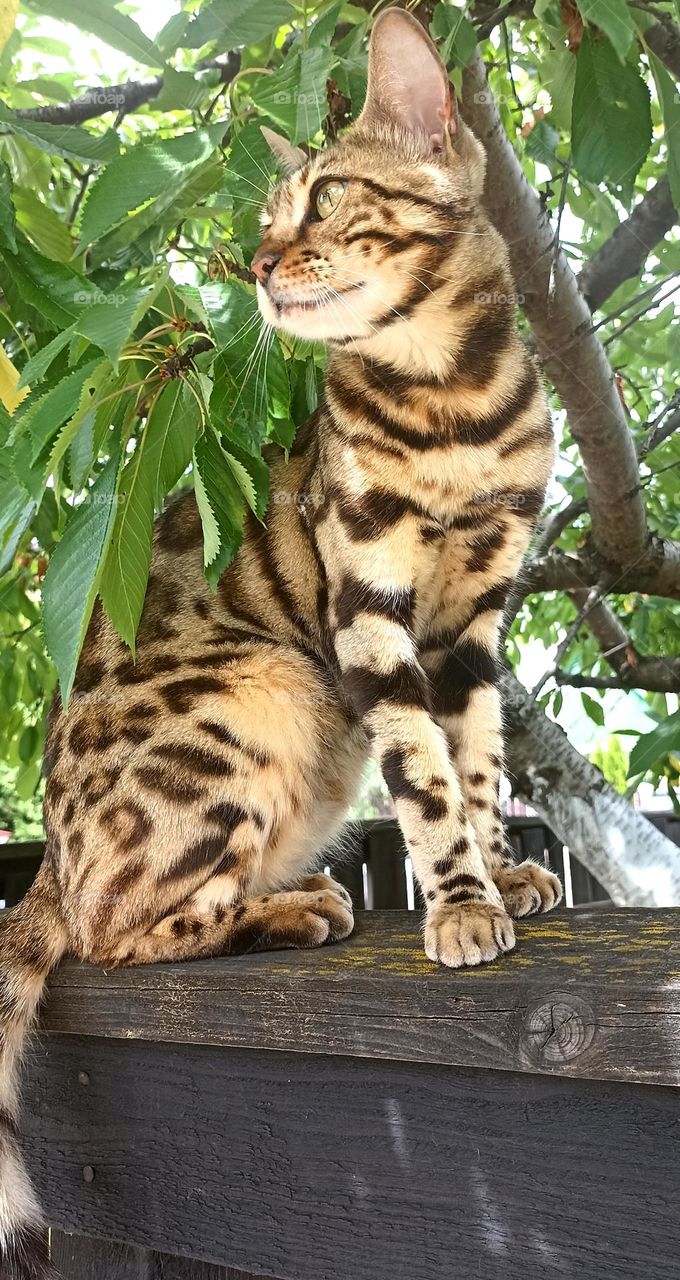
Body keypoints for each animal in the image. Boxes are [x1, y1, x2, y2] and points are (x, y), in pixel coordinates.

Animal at [1, 7, 558, 1269]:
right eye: (265, 218)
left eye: (327, 197)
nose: (254, 265)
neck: (452, 401)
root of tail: (48, 857)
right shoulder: (371, 606)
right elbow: (424, 777)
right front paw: (459, 902)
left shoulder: (476, 616)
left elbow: (476, 761)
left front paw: (497, 868)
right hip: (260, 683)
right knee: (112, 933)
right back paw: (290, 908)